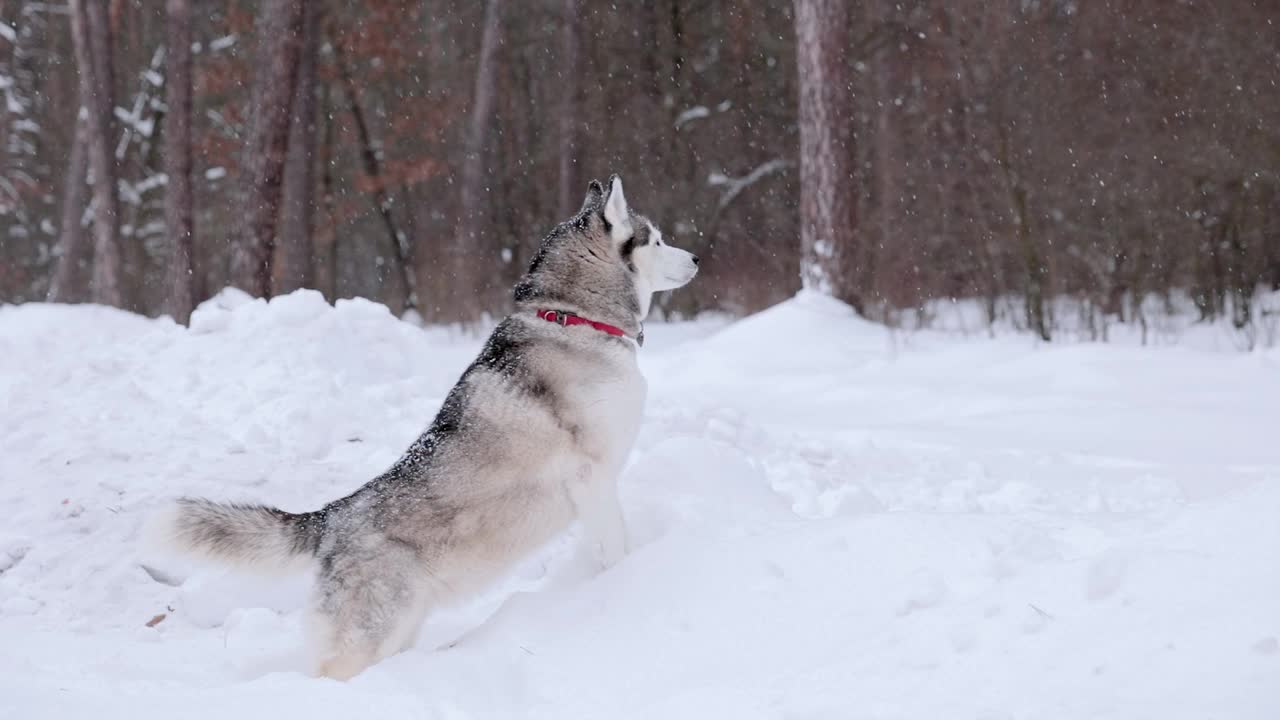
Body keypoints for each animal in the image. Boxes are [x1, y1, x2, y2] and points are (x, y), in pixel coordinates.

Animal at [156, 175, 706, 676]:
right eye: (657, 240)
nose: (699, 258)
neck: (575, 318)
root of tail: (333, 517)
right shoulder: (592, 477)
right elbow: (617, 547)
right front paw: (624, 580)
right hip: (373, 631)